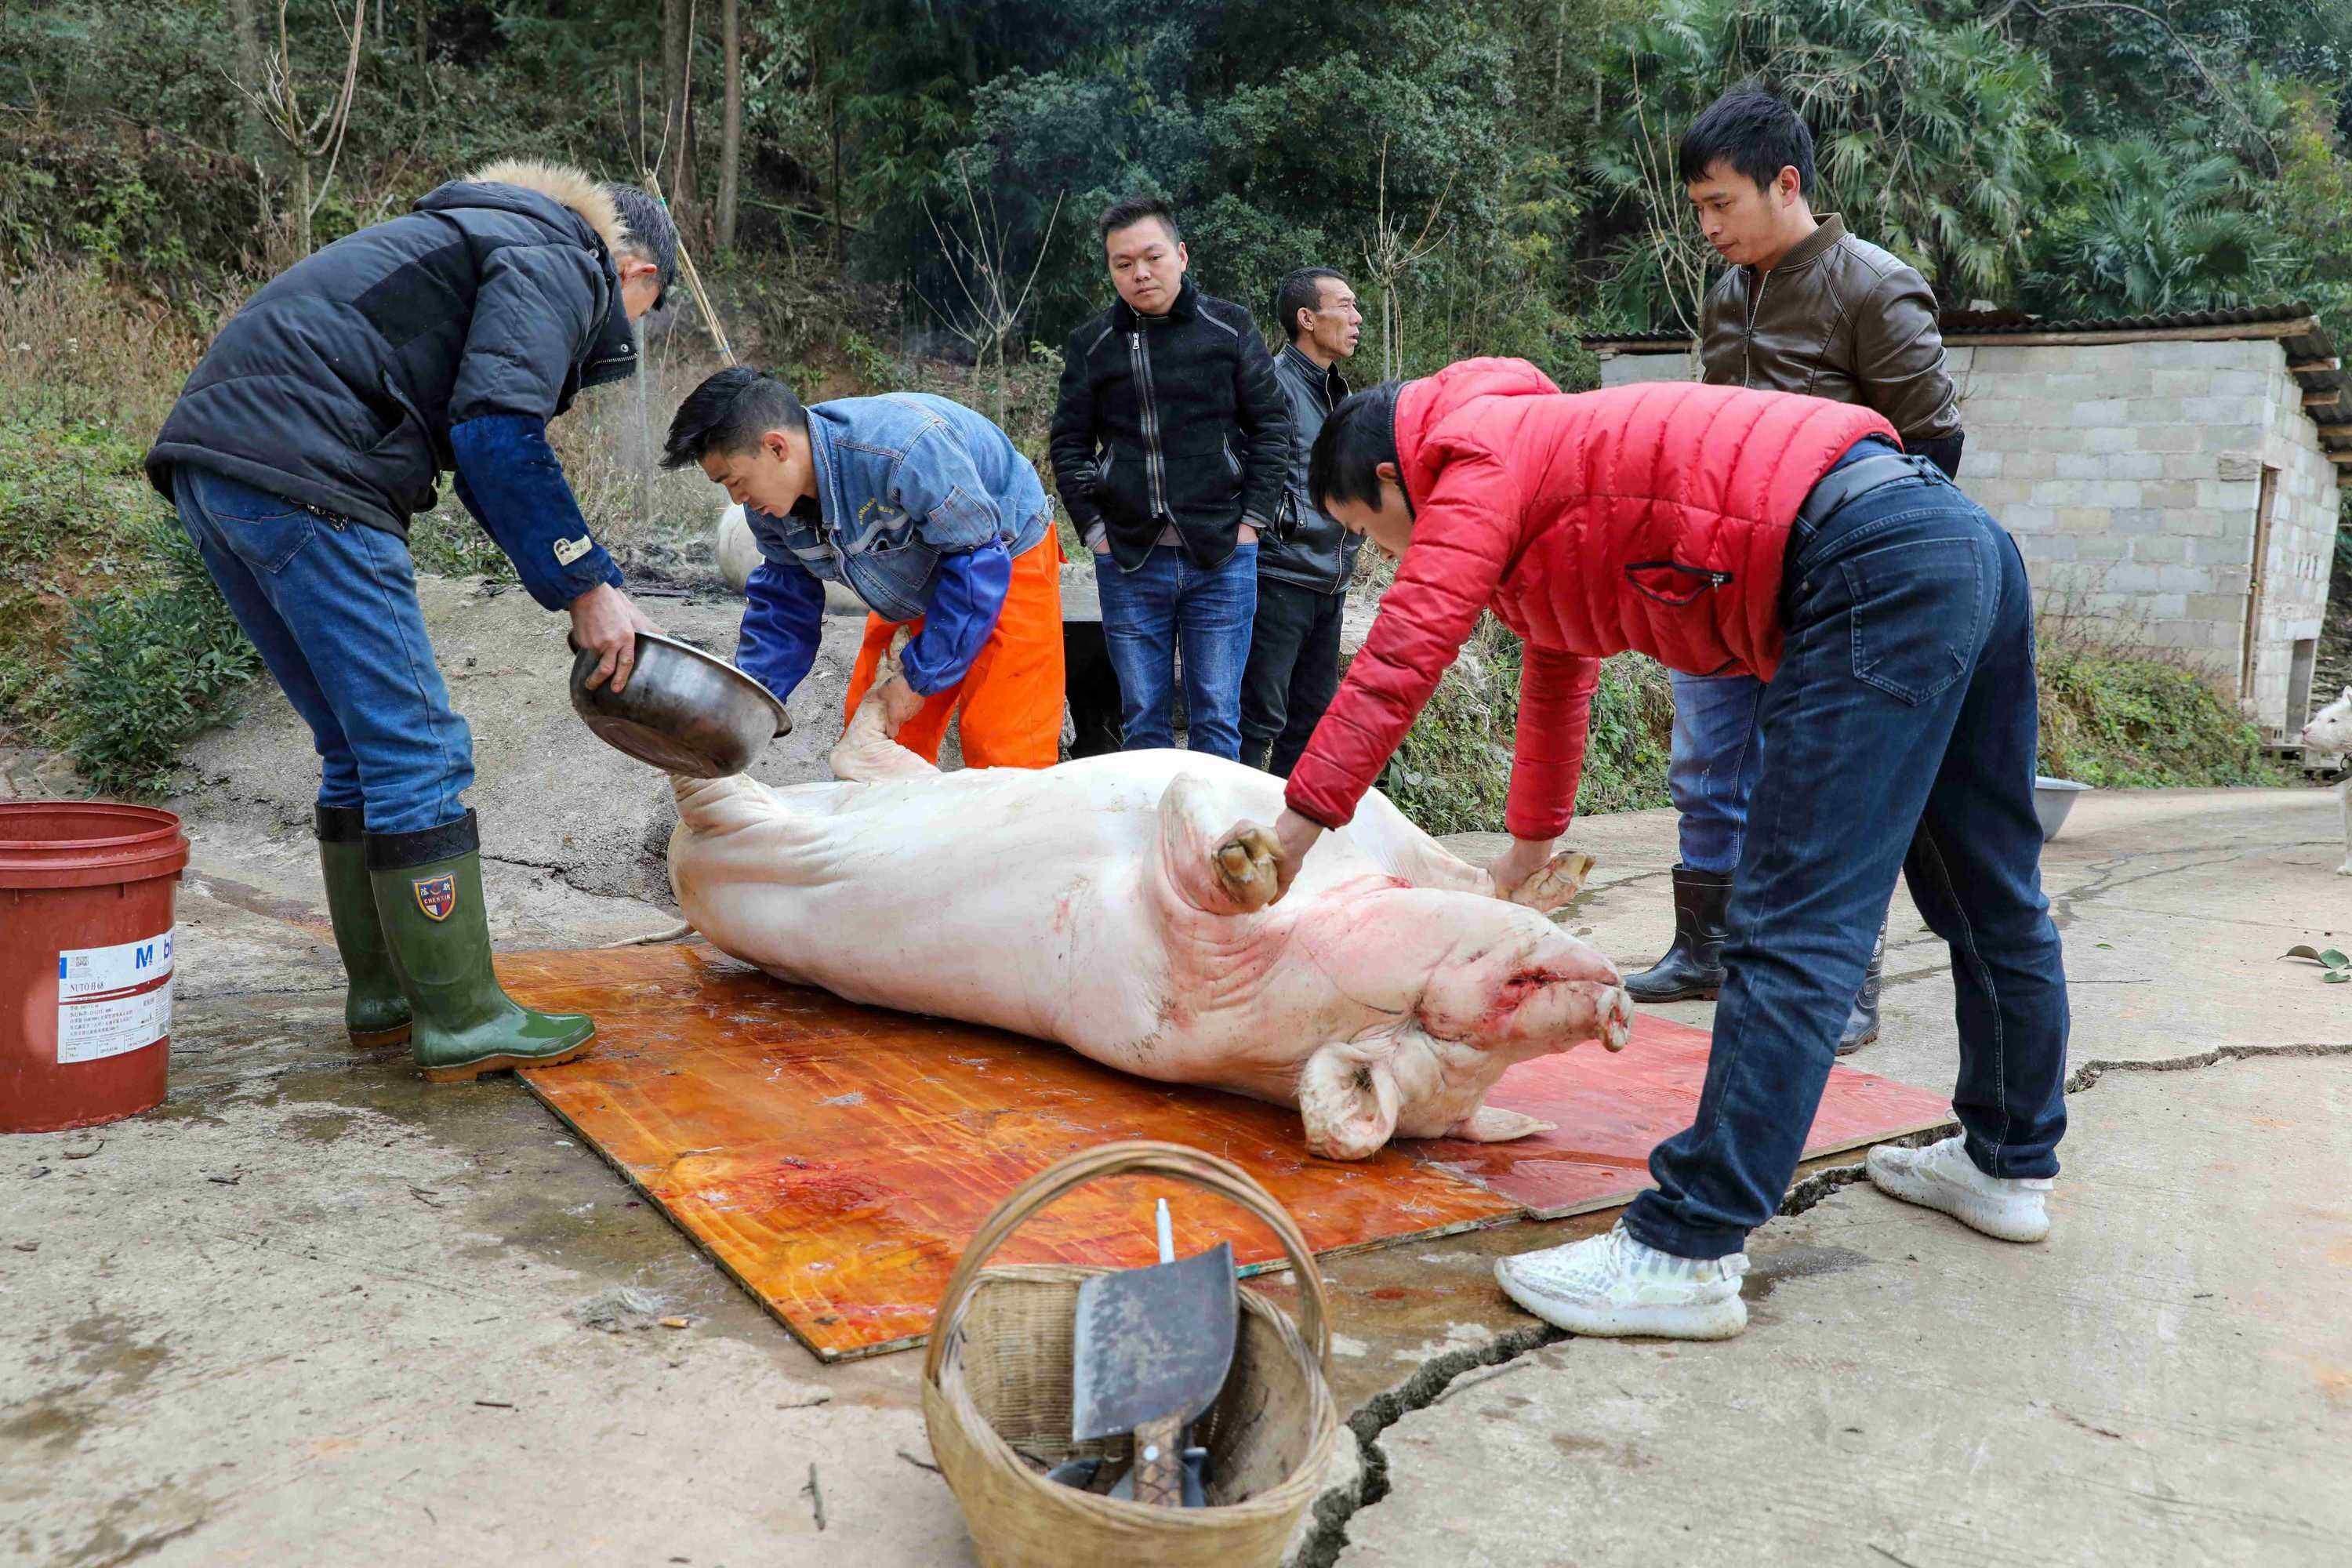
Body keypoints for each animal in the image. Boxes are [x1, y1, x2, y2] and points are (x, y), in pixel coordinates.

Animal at [665, 683, 1632, 1160]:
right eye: (1432, 1021)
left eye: (1426, 1049)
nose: (1614, 1009)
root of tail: (677, 862)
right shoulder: (1339, 823)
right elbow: (1192, 800)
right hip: (827, 809)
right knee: (830, 760)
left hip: (754, 851)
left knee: (739, 795)